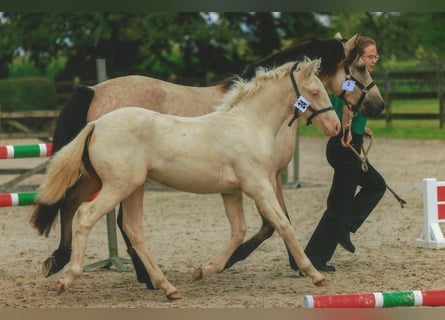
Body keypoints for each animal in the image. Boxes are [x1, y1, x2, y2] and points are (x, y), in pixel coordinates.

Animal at [33, 33, 384, 288]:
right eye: (361, 67)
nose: (378, 106)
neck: (249, 120)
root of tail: (95, 103)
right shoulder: (262, 180)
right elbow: (277, 222)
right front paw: (306, 268)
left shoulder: (249, 183)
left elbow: (256, 226)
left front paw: (213, 267)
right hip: (117, 183)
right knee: (92, 214)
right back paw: (115, 276)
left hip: (104, 178)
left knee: (77, 206)